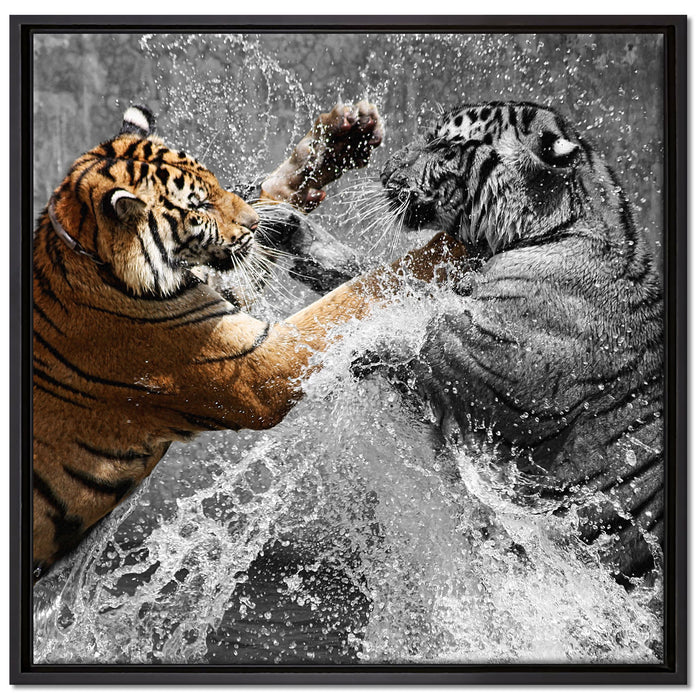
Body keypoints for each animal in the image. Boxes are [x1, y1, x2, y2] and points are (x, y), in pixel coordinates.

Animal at [32, 103, 468, 580]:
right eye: (200, 206)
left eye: (216, 186)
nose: (255, 223)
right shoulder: (256, 370)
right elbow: (351, 295)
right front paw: (449, 248)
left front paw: (340, 138)